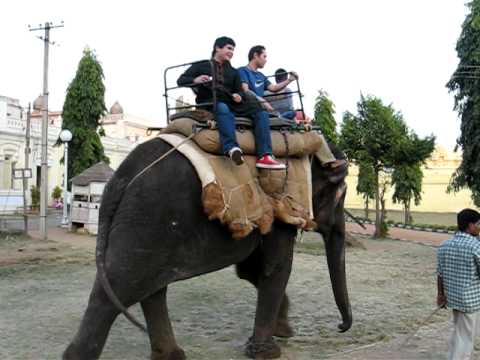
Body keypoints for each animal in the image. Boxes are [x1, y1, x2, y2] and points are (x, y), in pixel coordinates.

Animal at [62, 136, 350, 358]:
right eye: (339, 196)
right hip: (147, 220)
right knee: (118, 289)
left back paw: (172, 356)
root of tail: (120, 179)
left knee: (150, 288)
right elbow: (276, 268)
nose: (340, 326)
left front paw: (283, 330)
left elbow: (250, 270)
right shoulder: (280, 209)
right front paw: (268, 352)